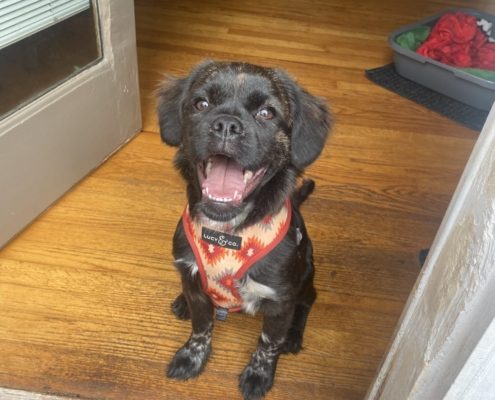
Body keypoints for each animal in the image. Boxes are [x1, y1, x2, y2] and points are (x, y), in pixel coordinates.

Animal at [157, 60, 332, 400]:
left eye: (266, 113)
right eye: (201, 104)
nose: (226, 124)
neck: (228, 234)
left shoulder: (279, 302)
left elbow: (268, 343)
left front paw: (259, 375)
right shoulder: (195, 284)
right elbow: (201, 327)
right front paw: (191, 357)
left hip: (306, 277)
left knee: (307, 302)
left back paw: (294, 336)